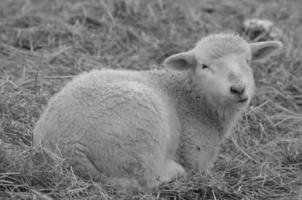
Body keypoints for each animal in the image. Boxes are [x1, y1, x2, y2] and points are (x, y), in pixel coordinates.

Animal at [33, 32, 284, 191]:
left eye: (248, 61)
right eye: (204, 66)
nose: (238, 88)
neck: (195, 99)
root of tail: (65, 147)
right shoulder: (196, 152)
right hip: (140, 135)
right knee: (143, 182)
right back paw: (172, 172)